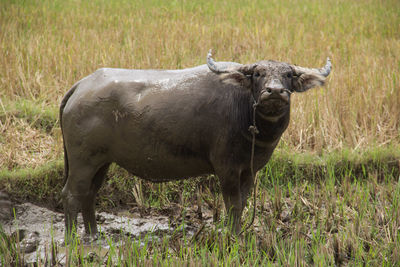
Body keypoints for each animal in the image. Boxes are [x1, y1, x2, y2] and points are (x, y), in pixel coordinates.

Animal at [60, 50, 332, 237]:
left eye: (288, 75)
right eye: (258, 73)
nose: (274, 92)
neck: (245, 113)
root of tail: (82, 85)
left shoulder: (249, 170)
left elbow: (243, 203)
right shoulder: (226, 168)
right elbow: (233, 204)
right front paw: (233, 236)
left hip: (101, 161)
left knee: (89, 193)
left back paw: (93, 235)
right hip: (82, 160)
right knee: (72, 194)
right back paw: (73, 239)